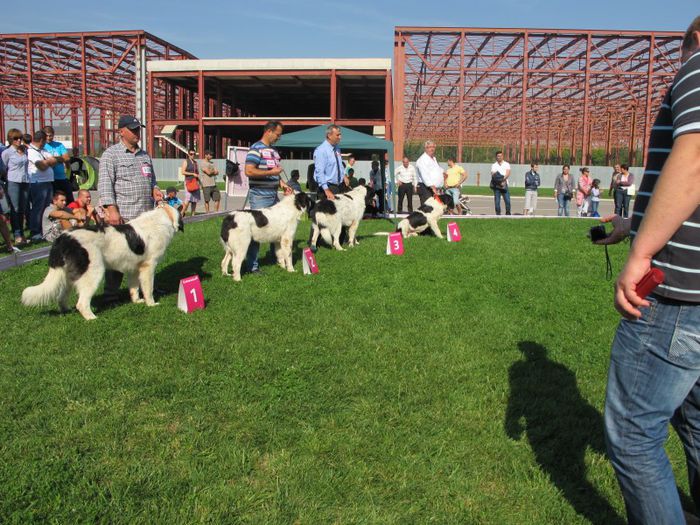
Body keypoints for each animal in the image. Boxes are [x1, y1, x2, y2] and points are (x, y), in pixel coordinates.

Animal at [22, 204, 183, 320]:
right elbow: (148, 289)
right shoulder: (148, 267)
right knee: (81, 302)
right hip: (93, 272)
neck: (163, 216)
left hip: (69, 275)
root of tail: (64, 238)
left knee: (61, 297)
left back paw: (66, 310)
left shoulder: (134, 268)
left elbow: (134, 288)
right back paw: (91, 318)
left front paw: (136, 301)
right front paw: (152, 304)